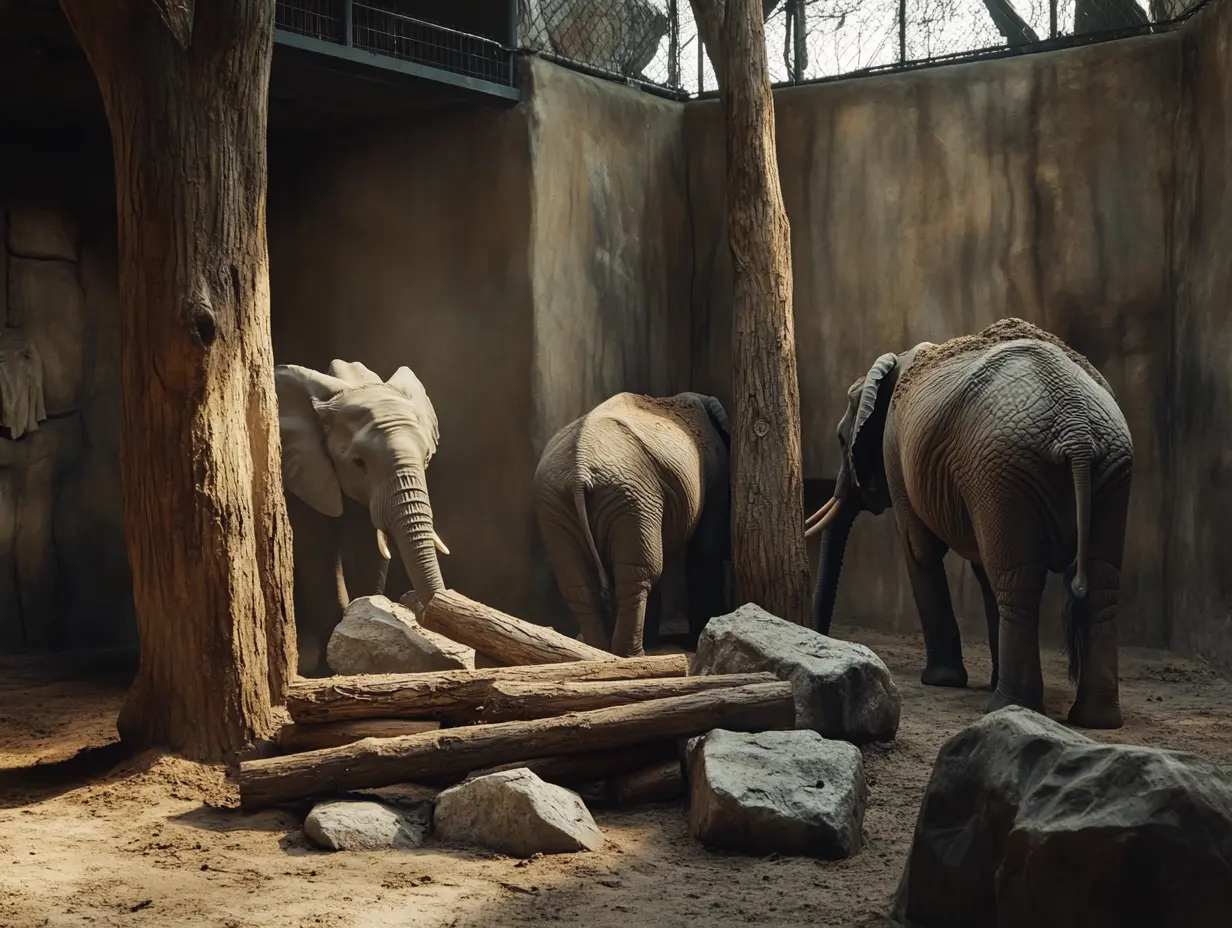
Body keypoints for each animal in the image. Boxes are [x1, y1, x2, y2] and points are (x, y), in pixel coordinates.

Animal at [276, 359, 450, 676]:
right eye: (359, 463)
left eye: (426, 458)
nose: (416, 604)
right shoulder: (298, 474)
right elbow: (318, 552)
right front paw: (330, 664)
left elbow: (370, 551)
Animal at [533, 391, 732, 657]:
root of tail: (578, 470)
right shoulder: (714, 469)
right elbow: (707, 546)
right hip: (631, 497)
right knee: (639, 573)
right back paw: (630, 654)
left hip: (557, 504)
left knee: (579, 585)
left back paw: (599, 650)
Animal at [804, 318, 1133, 729]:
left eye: (839, 439)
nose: (819, 638)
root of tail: (1076, 432)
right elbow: (981, 566)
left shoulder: (896, 452)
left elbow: (920, 551)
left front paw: (941, 681)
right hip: (1102, 470)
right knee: (1099, 583)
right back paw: (1097, 720)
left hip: (1008, 467)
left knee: (1017, 582)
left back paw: (1009, 706)